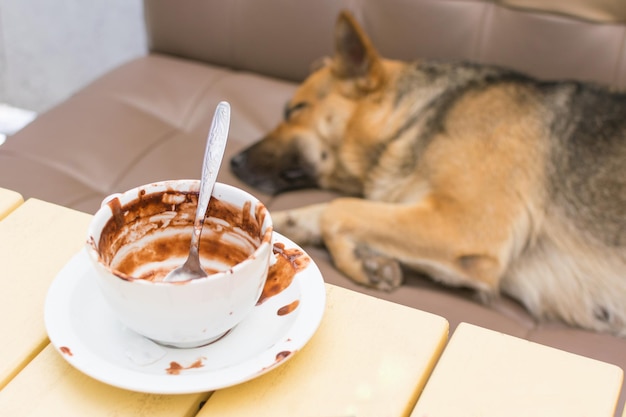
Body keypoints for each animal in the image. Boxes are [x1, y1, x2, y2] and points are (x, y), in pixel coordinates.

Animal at [230, 10, 624, 334]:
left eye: (296, 109)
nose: (232, 161)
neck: (413, 118)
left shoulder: (465, 226)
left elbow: (338, 209)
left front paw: (360, 261)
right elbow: (325, 211)